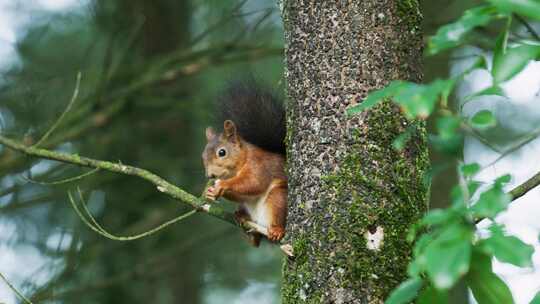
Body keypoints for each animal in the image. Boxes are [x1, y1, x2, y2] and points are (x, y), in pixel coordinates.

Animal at [202, 81, 286, 247]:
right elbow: (243, 195)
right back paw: (243, 219)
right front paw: (211, 192)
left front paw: (222, 185)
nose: (210, 175)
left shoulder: (259, 165)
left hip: (278, 198)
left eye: (222, 152)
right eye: (202, 156)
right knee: (255, 241)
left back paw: (277, 230)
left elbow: (254, 183)